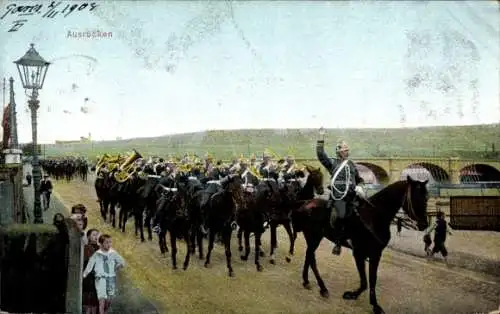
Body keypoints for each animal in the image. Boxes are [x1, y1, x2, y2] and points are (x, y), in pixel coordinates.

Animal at [292, 177, 430, 314]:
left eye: (426, 198)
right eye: (417, 198)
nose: (424, 224)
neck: (374, 216)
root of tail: (305, 203)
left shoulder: (376, 254)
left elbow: (372, 280)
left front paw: (374, 304)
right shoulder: (359, 253)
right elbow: (364, 281)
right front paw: (354, 295)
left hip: (313, 237)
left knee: (309, 257)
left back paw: (307, 281)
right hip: (314, 237)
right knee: (311, 258)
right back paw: (322, 287)